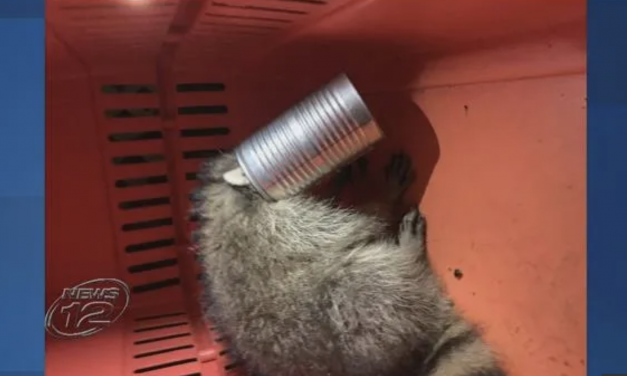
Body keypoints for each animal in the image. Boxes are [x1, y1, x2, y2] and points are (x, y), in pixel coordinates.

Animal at [190, 151, 506, 376]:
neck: (225, 196)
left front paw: (338, 182)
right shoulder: (288, 223)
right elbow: (364, 219)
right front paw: (385, 195)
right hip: (362, 306)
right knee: (368, 279)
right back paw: (411, 256)